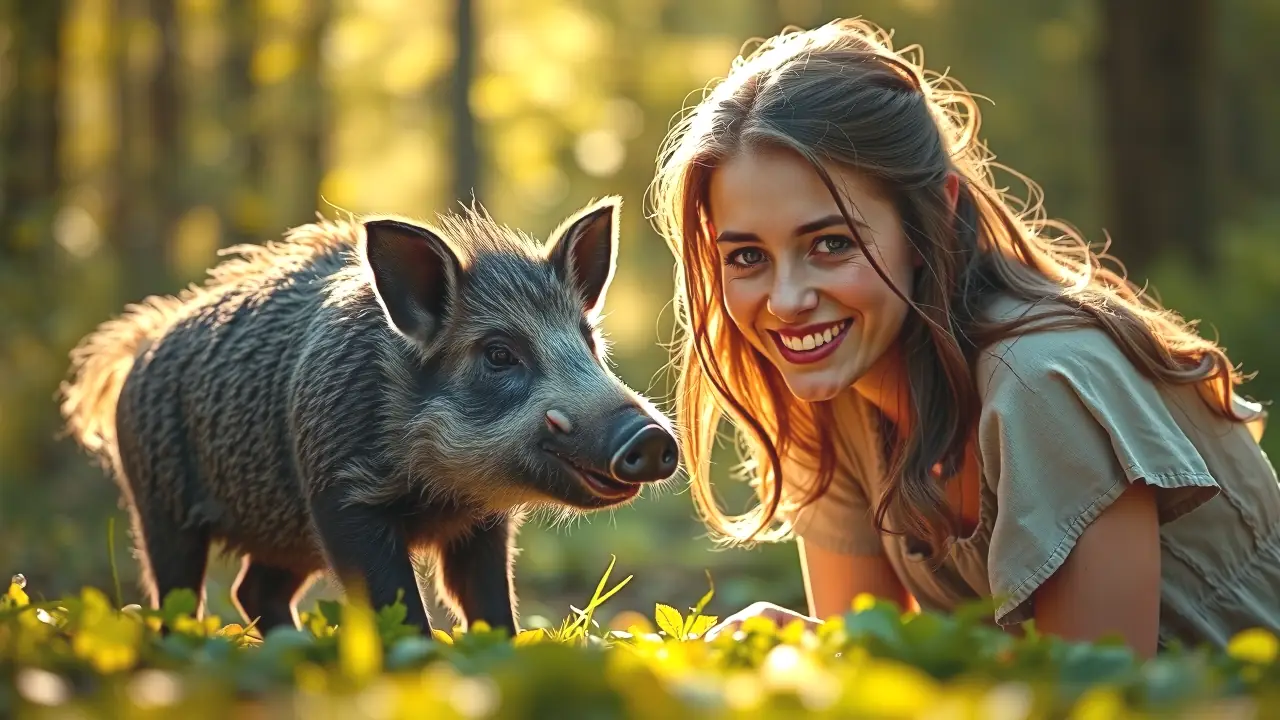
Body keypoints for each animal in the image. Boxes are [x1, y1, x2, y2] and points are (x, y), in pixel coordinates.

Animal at [58, 196, 679, 638]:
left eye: (588, 340)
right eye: (500, 353)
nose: (651, 437)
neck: (437, 491)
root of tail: (139, 345)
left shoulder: (483, 524)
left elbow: (488, 605)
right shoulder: (342, 498)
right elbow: (398, 606)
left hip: (285, 536)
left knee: (253, 590)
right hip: (159, 505)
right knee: (178, 594)